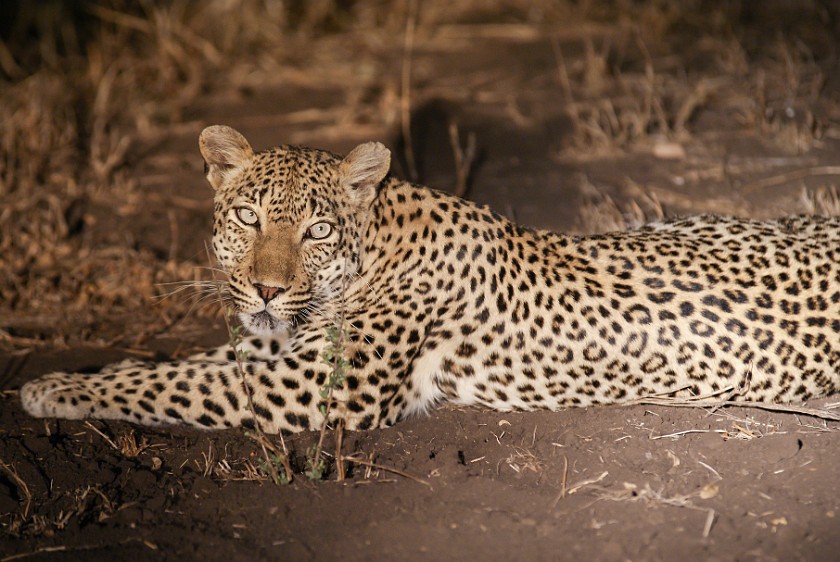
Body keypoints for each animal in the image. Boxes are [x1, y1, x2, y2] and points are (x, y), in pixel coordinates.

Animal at [19, 124, 840, 434]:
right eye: (248, 218)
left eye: (316, 231)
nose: (268, 290)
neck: (375, 242)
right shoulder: (275, 350)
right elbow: (179, 363)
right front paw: (86, 372)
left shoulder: (311, 391)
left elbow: (169, 383)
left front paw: (53, 389)